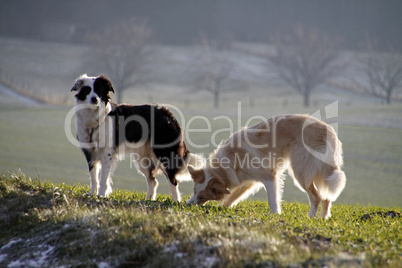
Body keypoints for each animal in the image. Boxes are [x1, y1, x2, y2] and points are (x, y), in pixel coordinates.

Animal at [187, 114, 348, 219]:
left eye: (202, 196)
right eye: (194, 191)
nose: (187, 204)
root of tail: (328, 129)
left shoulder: (269, 176)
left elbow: (273, 200)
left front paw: (274, 215)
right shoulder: (247, 182)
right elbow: (231, 198)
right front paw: (223, 207)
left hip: (301, 172)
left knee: (316, 197)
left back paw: (311, 217)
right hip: (320, 173)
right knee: (326, 197)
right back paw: (322, 218)